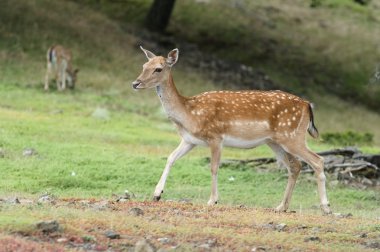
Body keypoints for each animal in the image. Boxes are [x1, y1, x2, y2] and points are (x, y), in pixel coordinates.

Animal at [132, 46, 332, 214]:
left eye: (158, 68)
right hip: (275, 142)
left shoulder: (215, 137)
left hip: (292, 136)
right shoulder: (190, 140)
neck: (189, 113)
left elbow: (213, 167)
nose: (135, 83)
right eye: (144, 65)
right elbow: (171, 157)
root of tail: (307, 105)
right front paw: (157, 194)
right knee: (295, 166)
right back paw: (282, 206)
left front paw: (212, 200)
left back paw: (326, 207)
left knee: (317, 160)